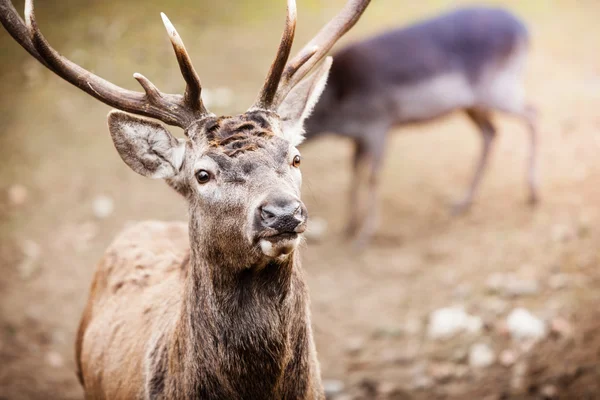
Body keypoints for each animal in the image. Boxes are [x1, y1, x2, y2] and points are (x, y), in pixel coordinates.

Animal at [302, 7, 540, 247]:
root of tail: (524, 28)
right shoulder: (358, 137)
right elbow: (354, 172)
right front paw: (349, 226)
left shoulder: (378, 124)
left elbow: (373, 176)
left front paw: (365, 236)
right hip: (473, 104)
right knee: (491, 132)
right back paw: (463, 203)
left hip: (498, 89)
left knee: (532, 113)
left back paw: (533, 193)